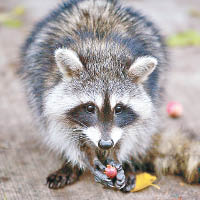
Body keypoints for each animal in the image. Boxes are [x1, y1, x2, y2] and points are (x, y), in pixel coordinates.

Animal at [20, 0, 200, 192]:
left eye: (119, 108)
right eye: (90, 107)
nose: (106, 144)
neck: (102, 51)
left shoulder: (147, 98)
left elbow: (135, 131)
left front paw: (117, 155)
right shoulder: (46, 89)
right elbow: (64, 131)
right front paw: (88, 157)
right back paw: (71, 164)